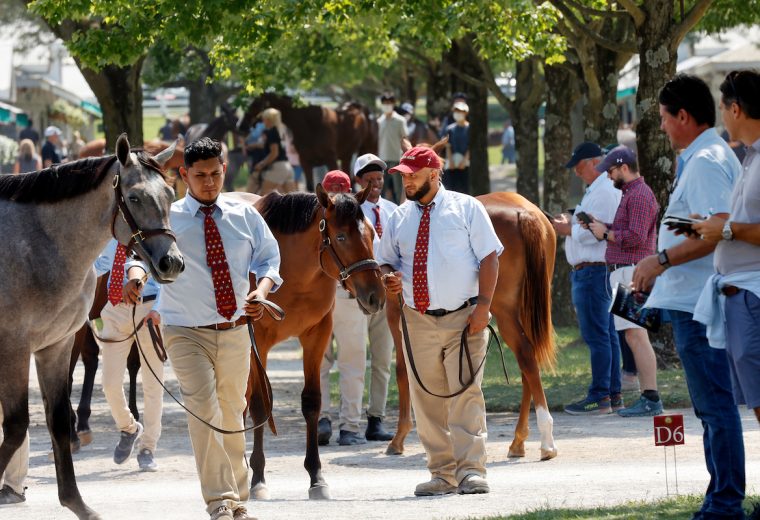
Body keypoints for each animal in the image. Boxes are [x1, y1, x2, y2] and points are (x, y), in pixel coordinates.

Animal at [0, 135, 184, 520]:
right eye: (135, 197)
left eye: (169, 194)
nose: (171, 262)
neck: (37, 243)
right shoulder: (13, 349)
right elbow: (16, 426)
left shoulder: (55, 346)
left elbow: (56, 420)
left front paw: (77, 502)